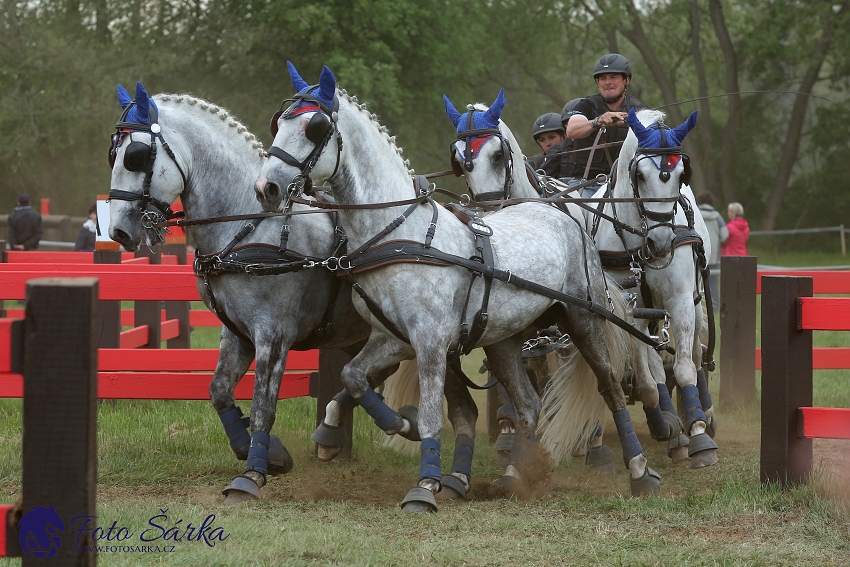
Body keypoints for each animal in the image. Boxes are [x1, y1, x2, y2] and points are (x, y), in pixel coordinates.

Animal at [106, 82, 378, 504]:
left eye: (135, 156)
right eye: (113, 154)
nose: (117, 231)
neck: (251, 226)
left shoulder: (273, 334)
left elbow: (264, 403)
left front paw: (252, 474)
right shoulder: (236, 332)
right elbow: (218, 389)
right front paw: (262, 451)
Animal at [252, 63, 656, 516]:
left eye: (315, 128)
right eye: (280, 123)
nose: (266, 188)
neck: (401, 234)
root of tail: (564, 216)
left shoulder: (428, 341)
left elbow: (433, 414)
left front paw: (425, 485)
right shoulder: (393, 338)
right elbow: (353, 376)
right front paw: (399, 425)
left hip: (582, 318)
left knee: (610, 388)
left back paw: (640, 470)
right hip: (503, 340)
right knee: (527, 403)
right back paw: (518, 474)